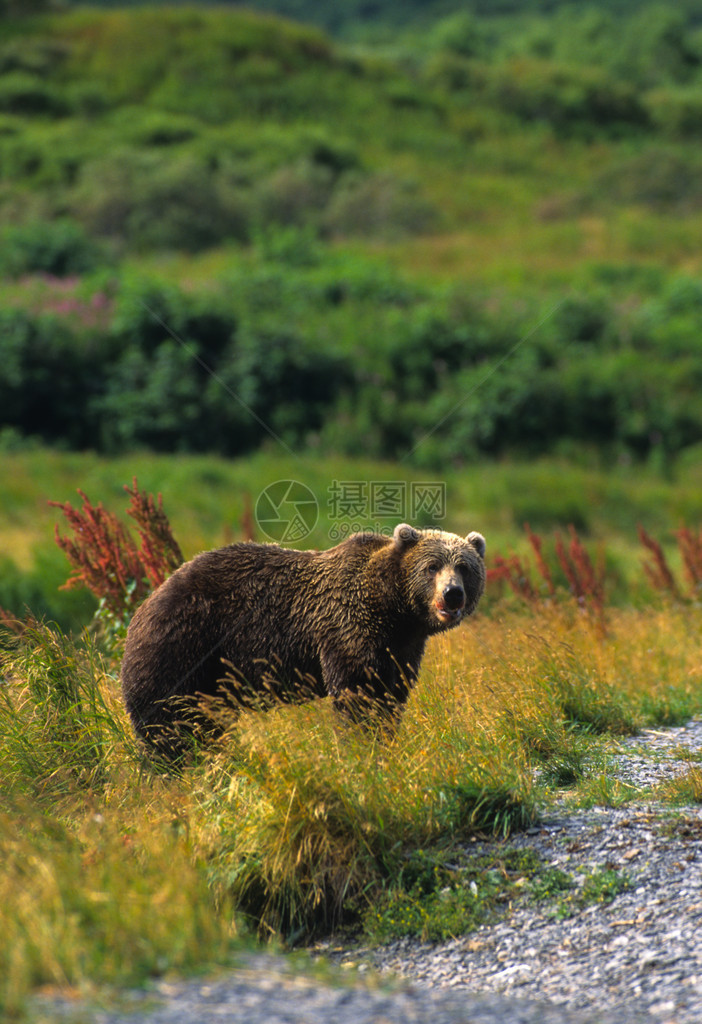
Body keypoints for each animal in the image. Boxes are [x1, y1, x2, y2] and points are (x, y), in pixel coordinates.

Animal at [120, 524, 487, 757]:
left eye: (464, 567)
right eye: (432, 566)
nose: (452, 594)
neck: (393, 609)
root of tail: (143, 605)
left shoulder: (400, 648)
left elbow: (390, 695)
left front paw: (384, 739)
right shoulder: (347, 628)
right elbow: (356, 693)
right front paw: (359, 745)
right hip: (184, 645)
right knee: (168, 717)